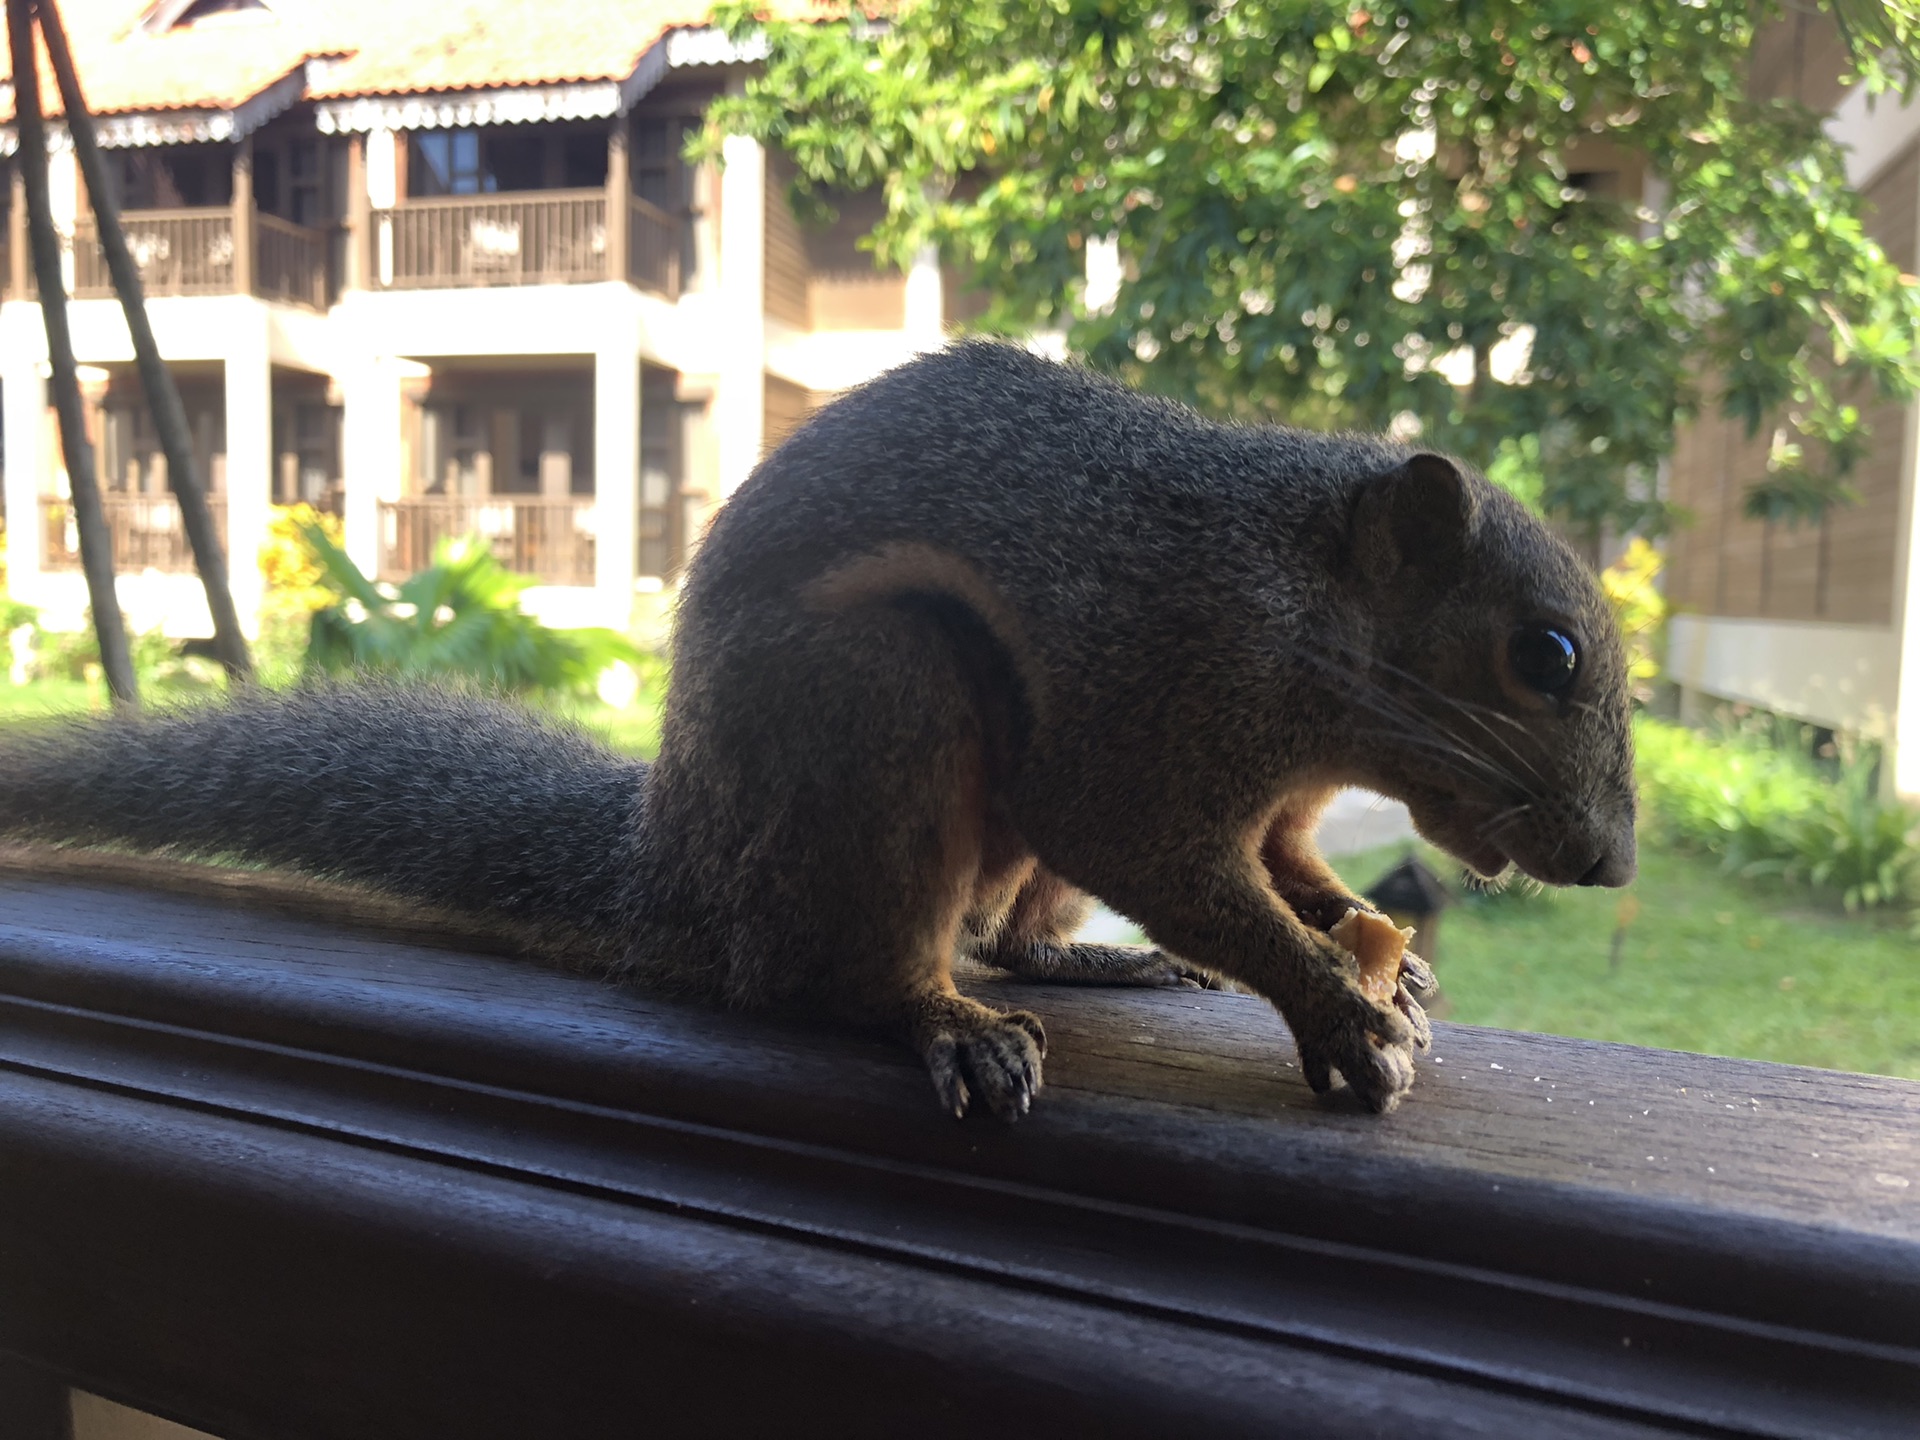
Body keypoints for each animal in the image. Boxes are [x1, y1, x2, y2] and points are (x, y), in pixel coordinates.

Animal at [0, 343, 1635, 1121]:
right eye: (1544, 655)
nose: (1612, 867)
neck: (1307, 618)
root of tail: (681, 878)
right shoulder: (1158, 699)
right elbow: (1169, 858)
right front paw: (1337, 1010)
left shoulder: (1276, 798)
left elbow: (1294, 871)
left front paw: (1379, 951)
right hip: (877, 711)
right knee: (844, 980)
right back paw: (951, 1027)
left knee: (1009, 930)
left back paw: (1100, 960)